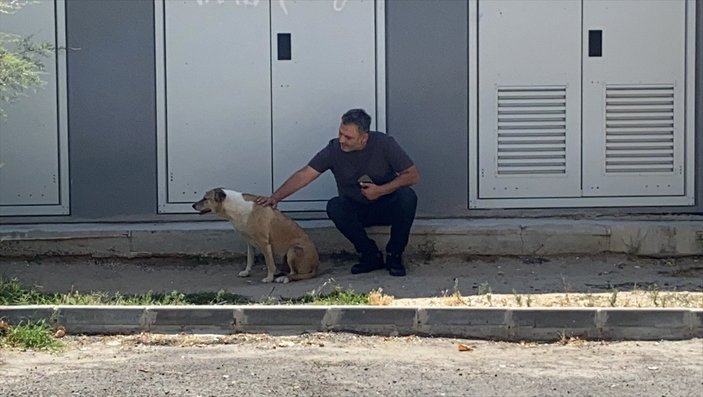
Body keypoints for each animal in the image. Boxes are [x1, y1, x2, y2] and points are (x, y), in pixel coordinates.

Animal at [192, 186, 320, 282]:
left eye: (205, 198)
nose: (193, 205)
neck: (235, 206)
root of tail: (316, 266)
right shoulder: (249, 243)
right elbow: (250, 259)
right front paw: (246, 272)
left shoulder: (264, 243)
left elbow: (269, 263)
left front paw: (269, 278)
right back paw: (280, 273)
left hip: (293, 250)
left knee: (294, 273)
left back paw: (283, 278)